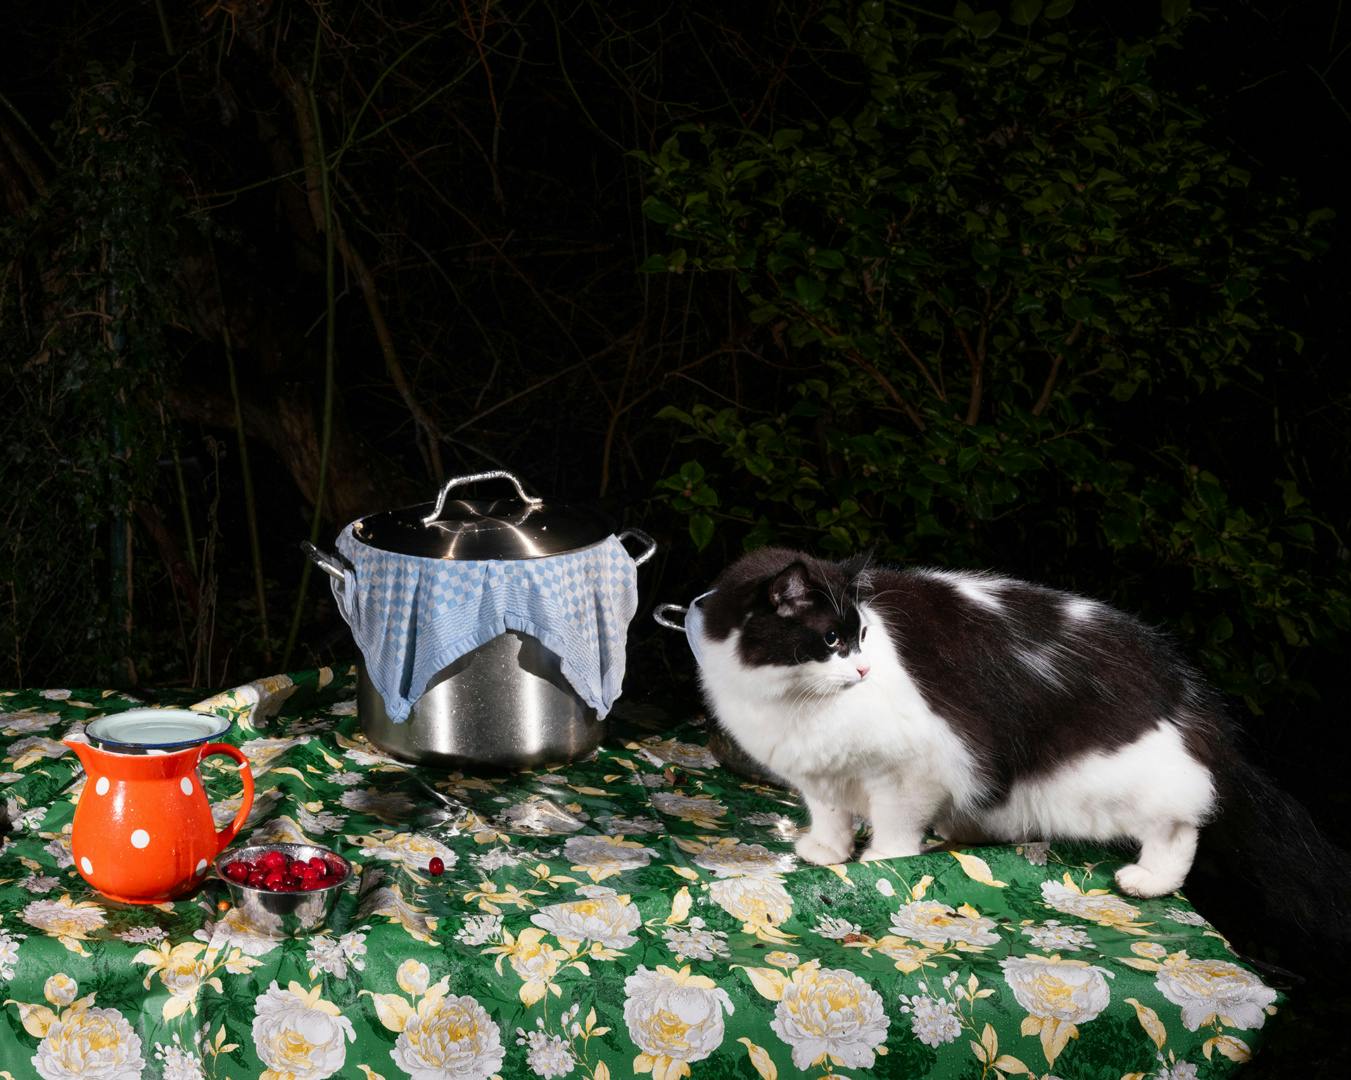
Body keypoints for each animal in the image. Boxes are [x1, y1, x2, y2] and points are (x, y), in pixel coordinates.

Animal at [691, 546, 1302, 897]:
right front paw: (827, 852)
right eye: (832, 639)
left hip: (1109, 780)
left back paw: (1149, 881)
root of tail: (1179, 680)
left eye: (860, 636)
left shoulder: (913, 769)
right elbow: (831, 816)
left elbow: (893, 827)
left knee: (1181, 823)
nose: (863, 668)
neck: (794, 700)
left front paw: (881, 862)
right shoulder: (820, 774)